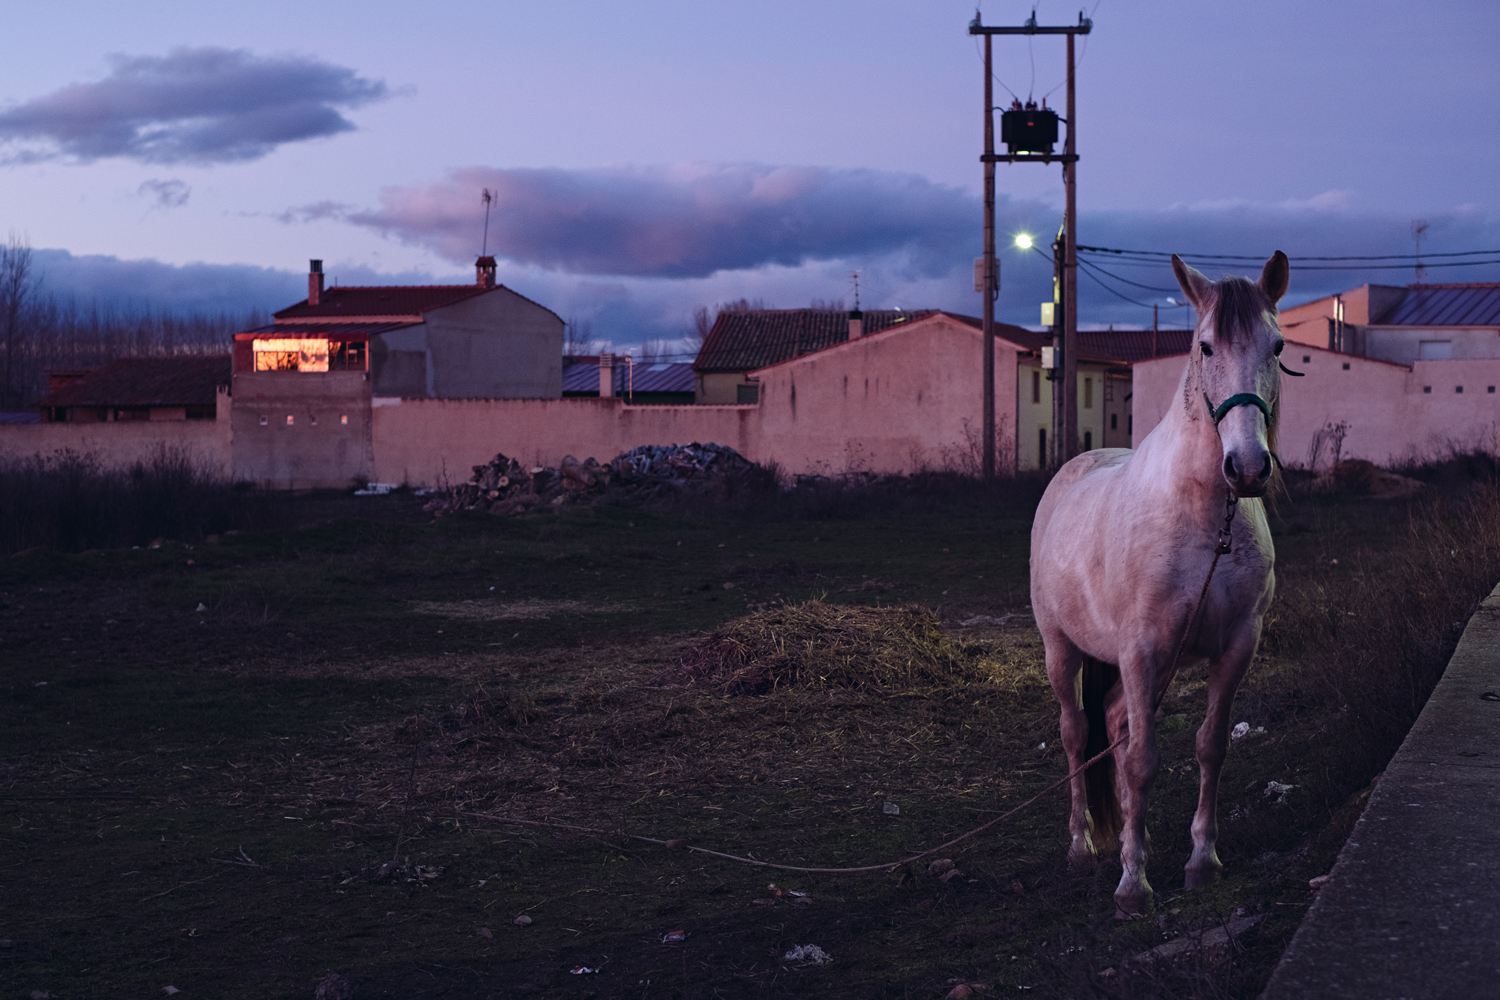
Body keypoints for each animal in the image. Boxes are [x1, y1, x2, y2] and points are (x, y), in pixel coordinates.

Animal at [1032, 254, 1290, 917]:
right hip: (1061, 650)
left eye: (1277, 346)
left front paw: (1201, 860)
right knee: (1078, 735)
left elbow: (1209, 746)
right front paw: (1133, 883)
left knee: (1116, 725)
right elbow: (1144, 761)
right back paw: (1082, 847)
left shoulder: (1236, 647)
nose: (1247, 468)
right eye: (1204, 345)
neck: (1204, 520)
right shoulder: (1142, 649)